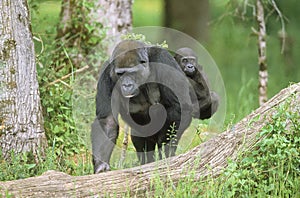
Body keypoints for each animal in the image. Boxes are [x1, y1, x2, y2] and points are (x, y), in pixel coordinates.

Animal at [92, 39, 195, 173]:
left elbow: (178, 106)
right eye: (120, 74)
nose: (126, 85)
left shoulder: (163, 58)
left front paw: (165, 151)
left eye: (132, 73)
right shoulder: (106, 71)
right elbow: (107, 120)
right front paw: (101, 164)